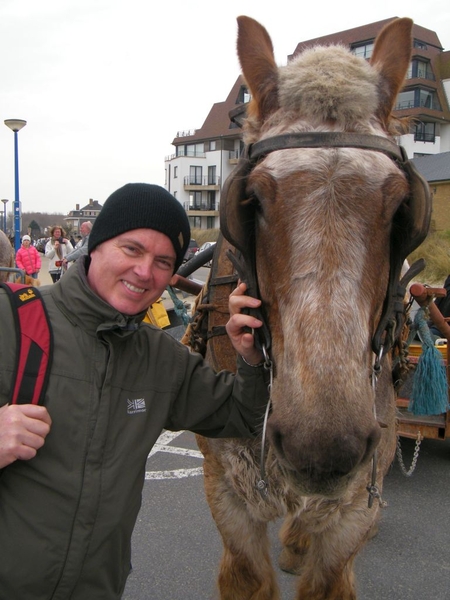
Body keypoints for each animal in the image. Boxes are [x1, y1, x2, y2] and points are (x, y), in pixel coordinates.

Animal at [184, 15, 432, 600]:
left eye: (399, 206)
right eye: (251, 199)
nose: (323, 447)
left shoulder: (356, 506)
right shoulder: (225, 492)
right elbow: (248, 576)